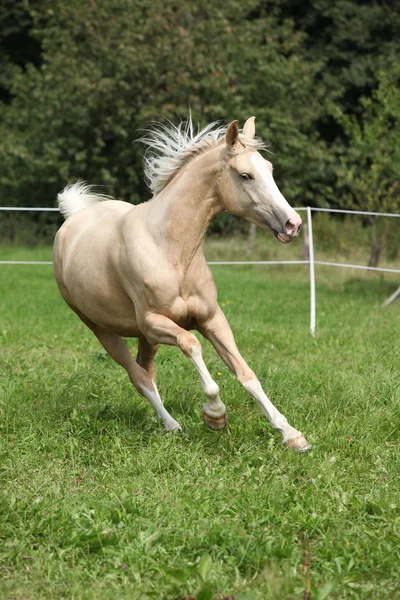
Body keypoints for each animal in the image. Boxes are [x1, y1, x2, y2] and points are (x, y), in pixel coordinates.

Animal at [52, 118, 312, 450]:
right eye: (246, 175)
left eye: (269, 168)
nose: (293, 224)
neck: (170, 250)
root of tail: (75, 217)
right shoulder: (155, 323)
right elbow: (193, 346)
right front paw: (215, 416)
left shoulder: (211, 318)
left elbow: (246, 374)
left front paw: (291, 434)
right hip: (103, 330)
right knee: (138, 377)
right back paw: (172, 425)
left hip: (144, 337)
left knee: (146, 371)